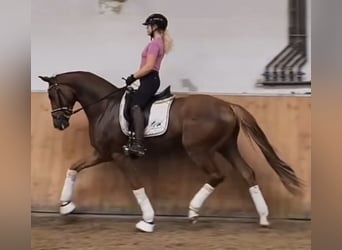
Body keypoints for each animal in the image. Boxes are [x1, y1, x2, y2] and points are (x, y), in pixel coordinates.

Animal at [38, 70, 304, 232]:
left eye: (52, 94)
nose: (59, 123)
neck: (106, 107)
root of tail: (228, 105)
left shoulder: (118, 155)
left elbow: (136, 185)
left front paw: (147, 220)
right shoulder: (102, 154)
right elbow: (73, 167)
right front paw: (66, 206)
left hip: (198, 149)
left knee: (217, 175)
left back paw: (193, 211)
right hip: (227, 147)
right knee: (248, 173)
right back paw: (264, 217)